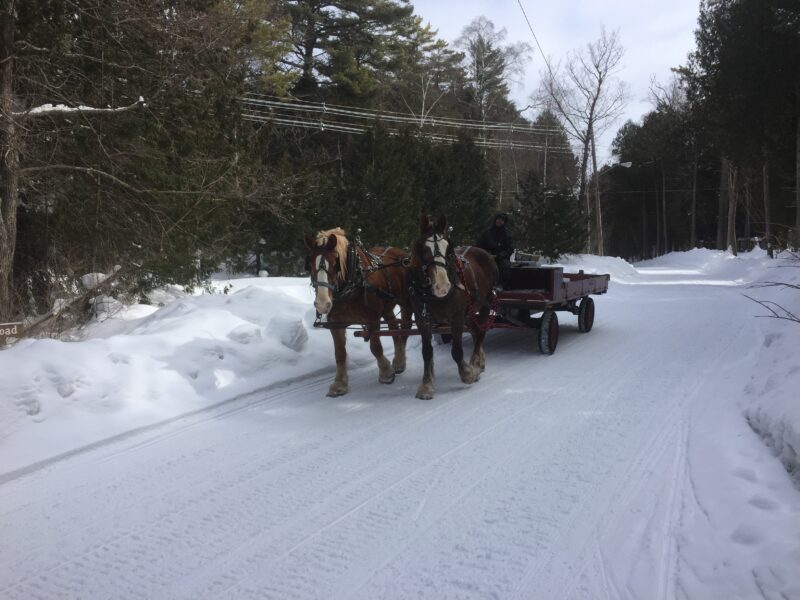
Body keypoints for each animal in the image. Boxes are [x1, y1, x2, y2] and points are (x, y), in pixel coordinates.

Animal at [302, 227, 410, 396]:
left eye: (335, 264)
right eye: (310, 264)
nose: (323, 304)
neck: (353, 282)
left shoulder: (372, 320)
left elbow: (375, 347)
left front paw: (386, 373)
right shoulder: (335, 324)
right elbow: (340, 353)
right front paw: (339, 384)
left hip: (406, 301)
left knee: (405, 328)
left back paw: (399, 362)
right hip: (387, 308)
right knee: (394, 327)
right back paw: (399, 360)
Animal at [410, 216, 496, 398]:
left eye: (448, 249)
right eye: (424, 249)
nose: (443, 286)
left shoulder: (456, 318)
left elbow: (456, 351)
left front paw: (468, 373)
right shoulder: (422, 320)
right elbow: (426, 352)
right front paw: (426, 385)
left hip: (486, 301)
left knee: (480, 333)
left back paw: (475, 363)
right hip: (470, 311)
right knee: (475, 331)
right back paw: (479, 362)